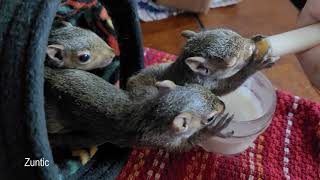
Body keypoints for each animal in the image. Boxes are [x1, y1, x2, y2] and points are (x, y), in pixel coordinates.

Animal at [45, 67, 232, 152]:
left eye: (199, 87)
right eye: (210, 118)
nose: (223, 104)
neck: (153, 112)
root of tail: (51, 77)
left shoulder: (143, 92)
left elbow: (136, 80)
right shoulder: (159, 141)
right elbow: (184, 146)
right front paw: (215, 130)